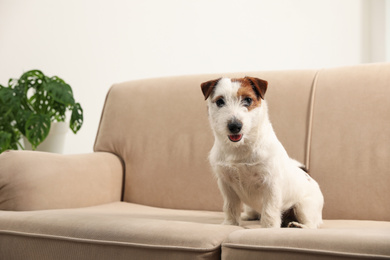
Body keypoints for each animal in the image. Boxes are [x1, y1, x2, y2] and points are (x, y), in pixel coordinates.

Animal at [200, 76, 324, 229]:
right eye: (220, 102)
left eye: (247, 100)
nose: (235, 126)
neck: (241, 148)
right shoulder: (226, 185)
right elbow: (230, 207)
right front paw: (230, 224)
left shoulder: (271, 183)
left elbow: (270, 209)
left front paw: (269, 228)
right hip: (251, 207)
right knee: (253, 213)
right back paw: (247, 216)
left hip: (303, 207)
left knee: (311, 224)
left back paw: (298, 225)